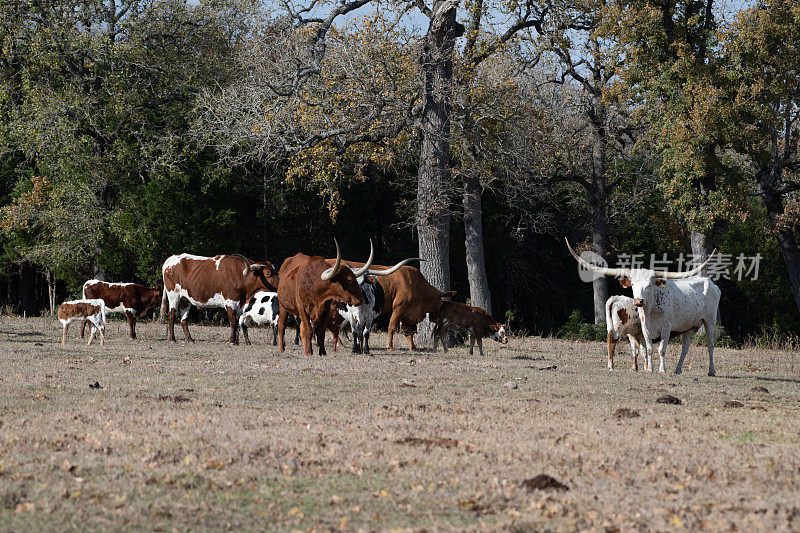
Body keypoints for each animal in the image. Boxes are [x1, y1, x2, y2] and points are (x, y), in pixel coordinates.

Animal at [564, 239, 720, 376]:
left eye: (649, 284)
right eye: (633, 284)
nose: (639, 300)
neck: (652, 311)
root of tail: (711, 283)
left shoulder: (666, 328)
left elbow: (661, 349)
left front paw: (661, 369)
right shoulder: (645, 329)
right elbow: (649, 349)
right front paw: (649, 369)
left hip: (710, 321)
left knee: (710, 345)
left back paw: (711, 371)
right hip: (687, 326)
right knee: (685, 347)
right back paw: (678, 369)